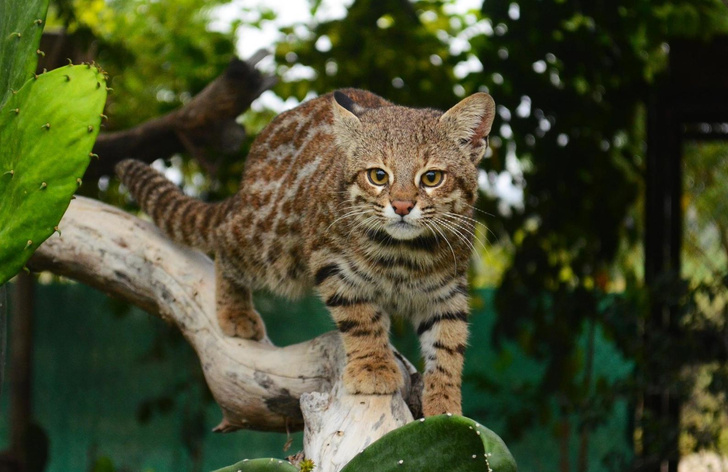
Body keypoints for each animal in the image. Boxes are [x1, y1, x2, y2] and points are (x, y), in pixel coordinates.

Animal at [116, 86, 494, 414]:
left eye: (431, 178)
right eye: (378, 176)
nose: (402, 206)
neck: (404, 251)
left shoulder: (447, 290)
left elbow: (448, 345)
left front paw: (445, 400)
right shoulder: (334, 265)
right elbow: (361, 320)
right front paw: (372, 366)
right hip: (270, 244)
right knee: (225, 242)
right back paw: (234, 311)